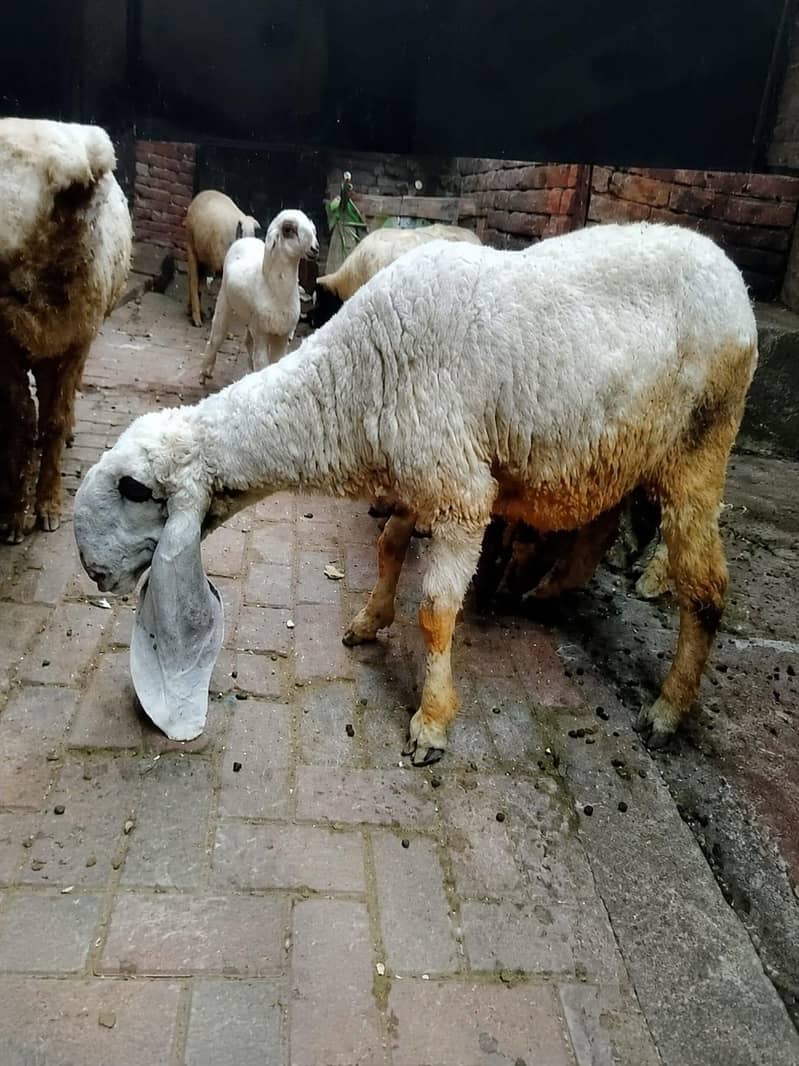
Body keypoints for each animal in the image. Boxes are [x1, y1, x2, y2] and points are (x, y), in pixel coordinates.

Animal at [0, 117, 131, 543]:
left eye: (66, 187)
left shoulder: (77, 341)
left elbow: (55, 418)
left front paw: (48, 505)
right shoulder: (6, 343)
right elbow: (20, 418)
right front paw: (15, 514)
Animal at [184, 190, 261, 328]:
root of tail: (199, 195)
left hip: (204, 255)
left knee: (194, 279)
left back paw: (195, 313)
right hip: (190, 242)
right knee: (193, 279)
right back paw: (197, 322)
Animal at [199, 208, 319, 384]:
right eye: (289, 230)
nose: (315, 248)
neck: (277, 293)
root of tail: (245, 239)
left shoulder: (282, 334)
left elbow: (275, 361)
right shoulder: (262, 333)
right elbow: (262, 363)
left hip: (252, 320)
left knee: (247, 342)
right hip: (225, 300)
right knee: (217, 335)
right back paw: (205, 372)